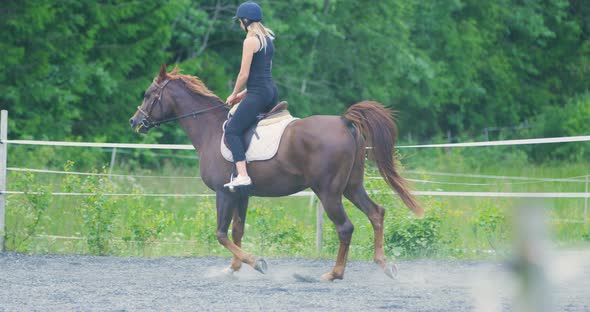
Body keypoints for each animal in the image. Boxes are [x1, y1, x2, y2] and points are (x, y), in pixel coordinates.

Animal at [131, 64, 424, 282]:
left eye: (148, 94)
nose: (135, 122)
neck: (211, 130)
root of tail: (344, 121)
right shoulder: (241, 194)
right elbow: (237, 231)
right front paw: (233, 268)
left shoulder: (223, 193)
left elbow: (221, 234)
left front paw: (256, 263)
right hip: (351, 186)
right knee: (376, 213)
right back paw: (384, 265)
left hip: (329, 192)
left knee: (345, 227)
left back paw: (333, 274)